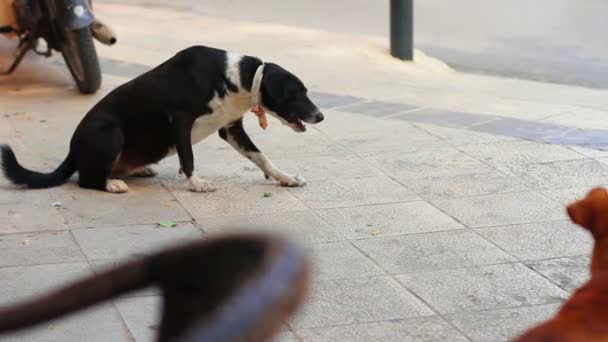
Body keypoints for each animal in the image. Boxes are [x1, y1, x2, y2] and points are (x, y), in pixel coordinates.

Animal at [1, 46, 324, 192]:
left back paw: (134, 170)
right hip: (111, 131)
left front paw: (285, 178)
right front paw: (196, 184)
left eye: (305, 91)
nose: (320, 116)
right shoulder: (180, 120)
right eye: (296, 93)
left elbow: (262, 158)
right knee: (86, 180)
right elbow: (188, 158)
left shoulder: (231, 128)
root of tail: (72, 151)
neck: (237, 78)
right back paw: (110, 184)